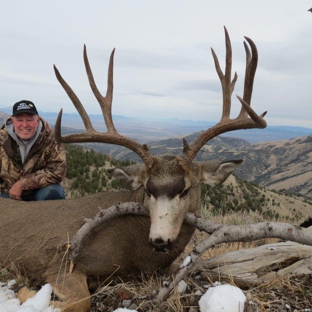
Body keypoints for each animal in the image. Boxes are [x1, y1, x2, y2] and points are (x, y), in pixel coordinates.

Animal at [0, 28, 266, 310]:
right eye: (148, 189)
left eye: (185, 189)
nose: (160, 241)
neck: (136, 254)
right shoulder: (61, 261)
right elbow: (81, 300)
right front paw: (24, 292)